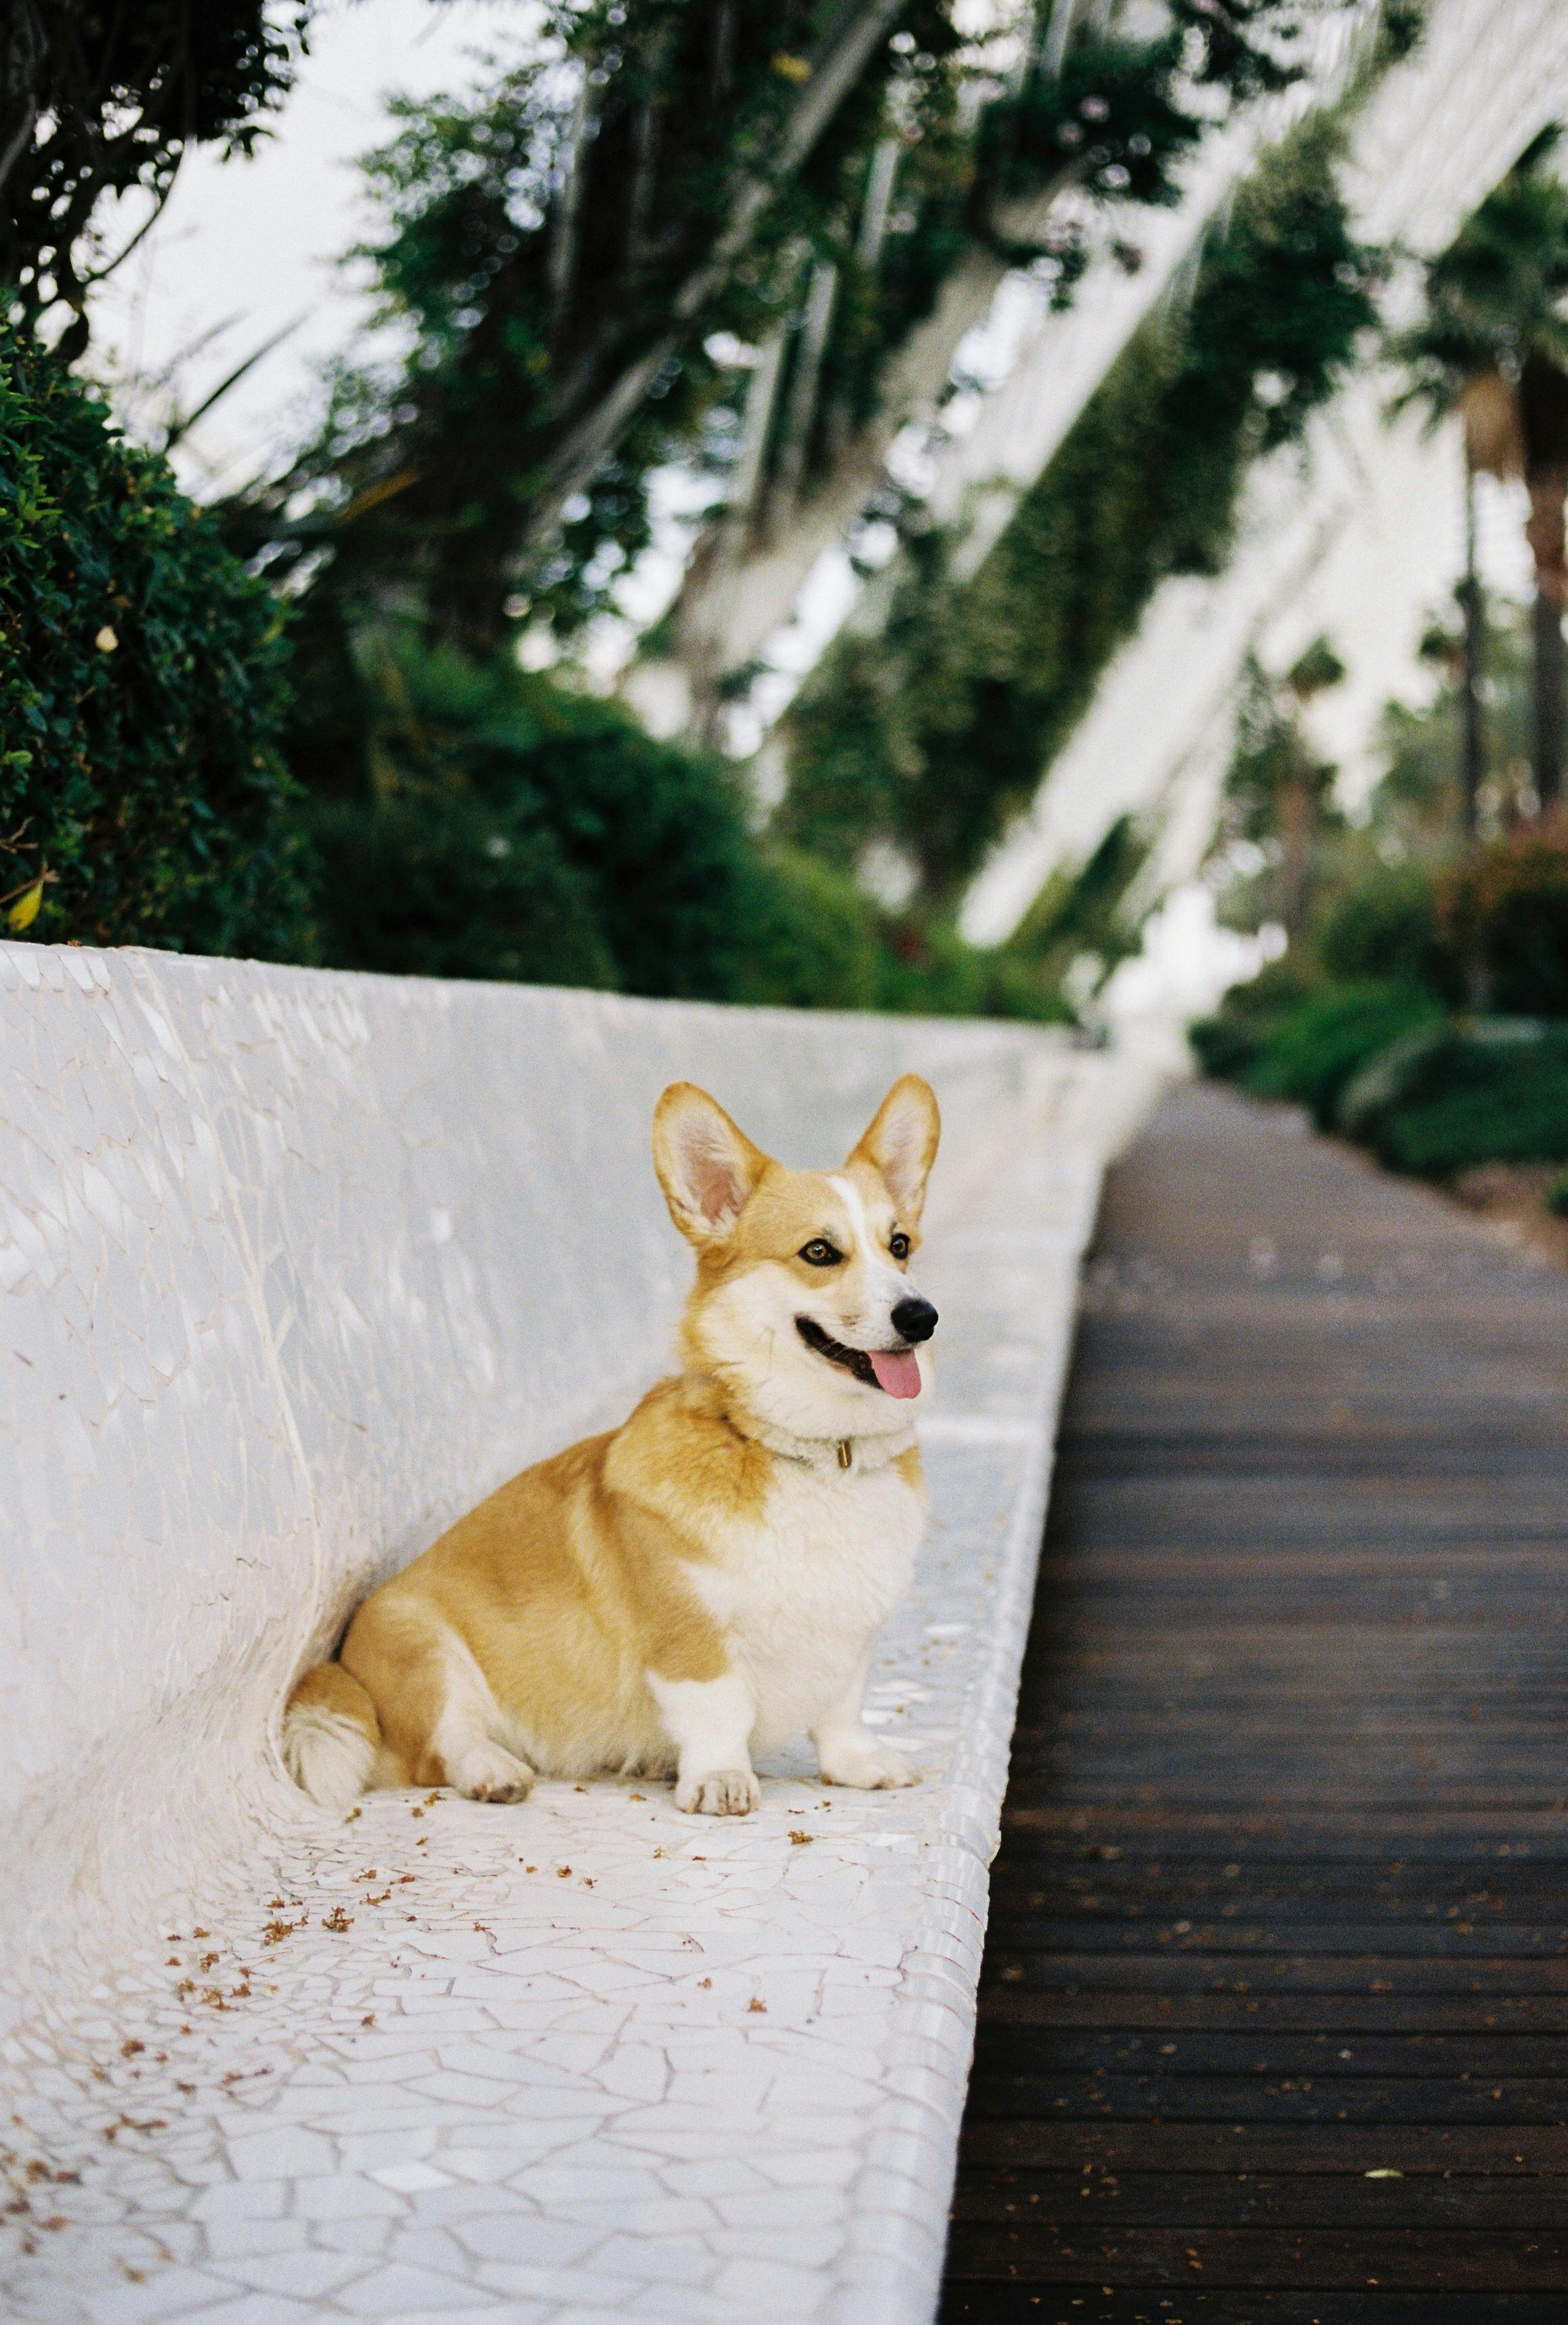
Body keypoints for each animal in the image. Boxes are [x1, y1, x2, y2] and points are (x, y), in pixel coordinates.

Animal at [278, 1069, 939, 1813]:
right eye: (819, 1252)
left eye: (900, 1245)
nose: (921, 1316)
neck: (817, 1452)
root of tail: (342, 1664)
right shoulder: (691, 1639)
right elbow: (719, 1712)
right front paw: (719, 1779)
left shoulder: (849, 1639)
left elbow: (841, 1710)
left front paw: (858, 1765)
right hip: (423, 1646)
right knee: (440, 1747)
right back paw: (494, 1770)